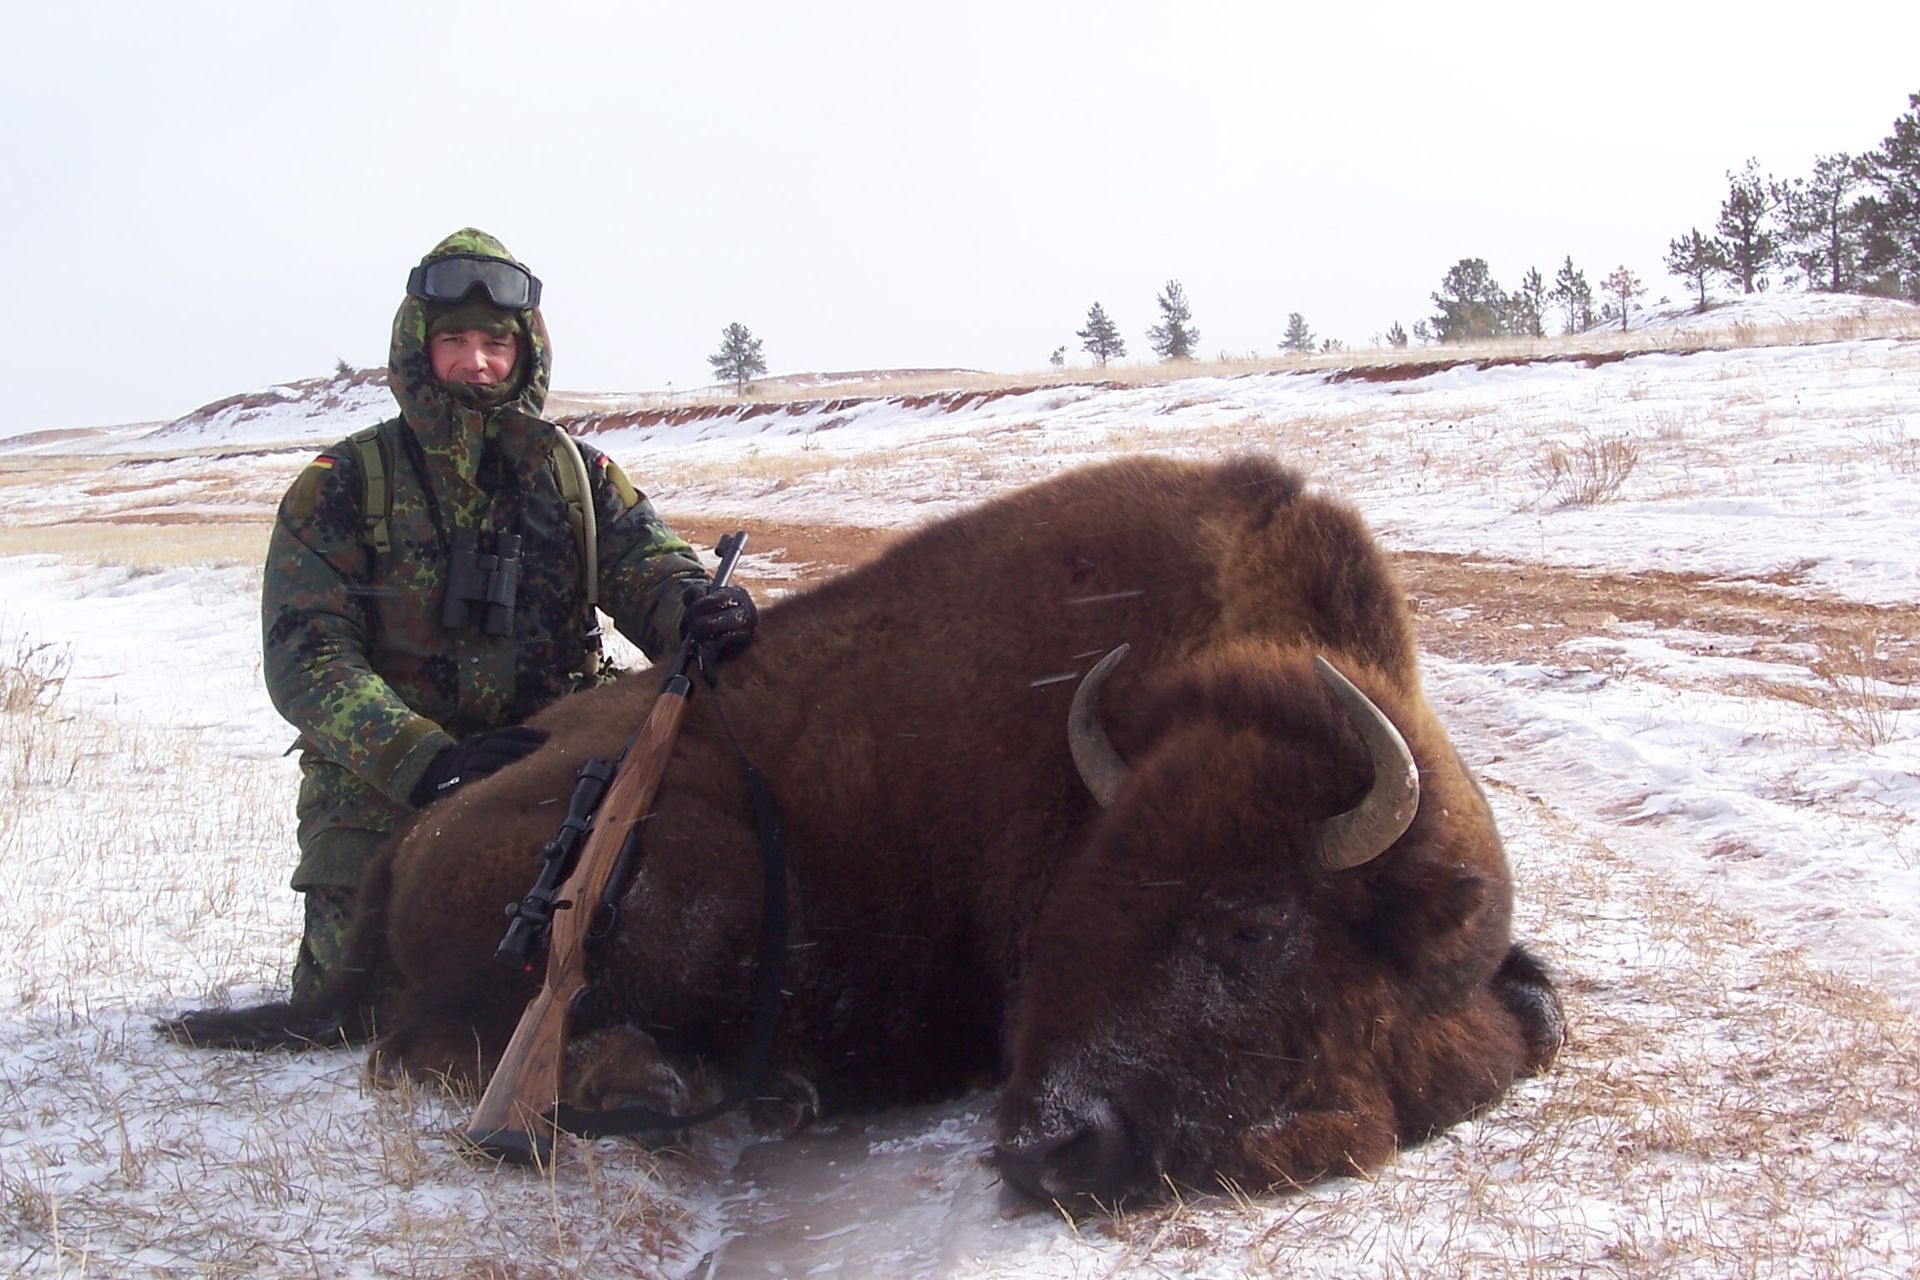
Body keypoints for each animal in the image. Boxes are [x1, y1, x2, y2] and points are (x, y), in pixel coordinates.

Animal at [172, 453, 1562, 1209]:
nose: (1050, 1147)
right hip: (700, 867)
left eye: (1248, 925)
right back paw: (682, 1084)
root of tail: (405, 840)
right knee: (422, 1047)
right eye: (1069, 909)